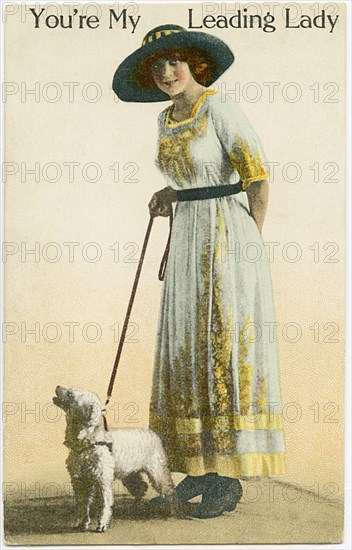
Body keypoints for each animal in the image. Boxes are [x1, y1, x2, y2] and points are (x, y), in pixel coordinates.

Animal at [53, 386, 175, 532]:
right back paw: (134, 506)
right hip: (130, 475)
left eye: (71, 394)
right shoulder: (80, 481)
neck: (89, 442)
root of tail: (153, 434)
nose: (57, 386)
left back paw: (172, 510)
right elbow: (83, 505)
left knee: (169, 490)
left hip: (157, 472)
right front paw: (83, 523)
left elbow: (105, 503)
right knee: (141, 488)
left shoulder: (103, 480)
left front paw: (102, 524)